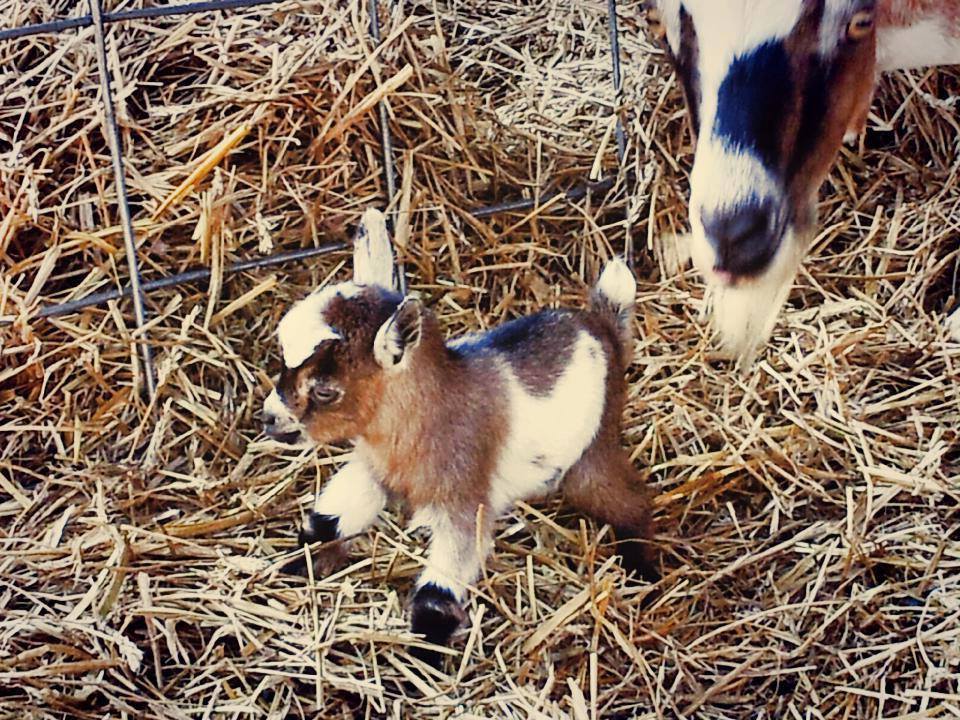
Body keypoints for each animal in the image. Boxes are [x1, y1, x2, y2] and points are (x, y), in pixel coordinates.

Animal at [261, 209, 657, 657]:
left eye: (325, 390)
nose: (269, 418)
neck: (433, 412)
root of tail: (604, 327)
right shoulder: (375, 469)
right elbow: (328, 521)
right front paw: (294, 566)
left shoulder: (465, 498)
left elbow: (438, 594)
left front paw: (425, 656)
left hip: (594, 447)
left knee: (629, 500)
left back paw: (643, 570)